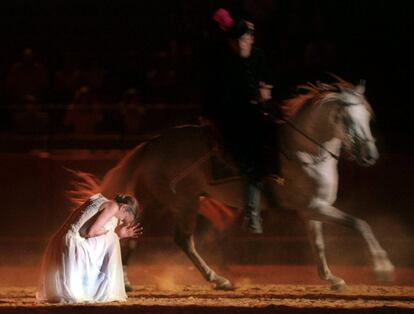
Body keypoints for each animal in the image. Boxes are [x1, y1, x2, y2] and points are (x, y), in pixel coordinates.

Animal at [94, 78, 394, 290]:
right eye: (347, 119)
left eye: (368, 118)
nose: (370, 156)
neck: (304, 150)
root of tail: (153, 143)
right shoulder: (316, 207)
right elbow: (360, 224)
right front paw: (383, 268)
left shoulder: (313, 209)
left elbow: (318, 244)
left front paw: (331, 278)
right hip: (174, 202)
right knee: (156, 237)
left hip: (177, 201)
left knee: (169, 239)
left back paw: (213, 279)